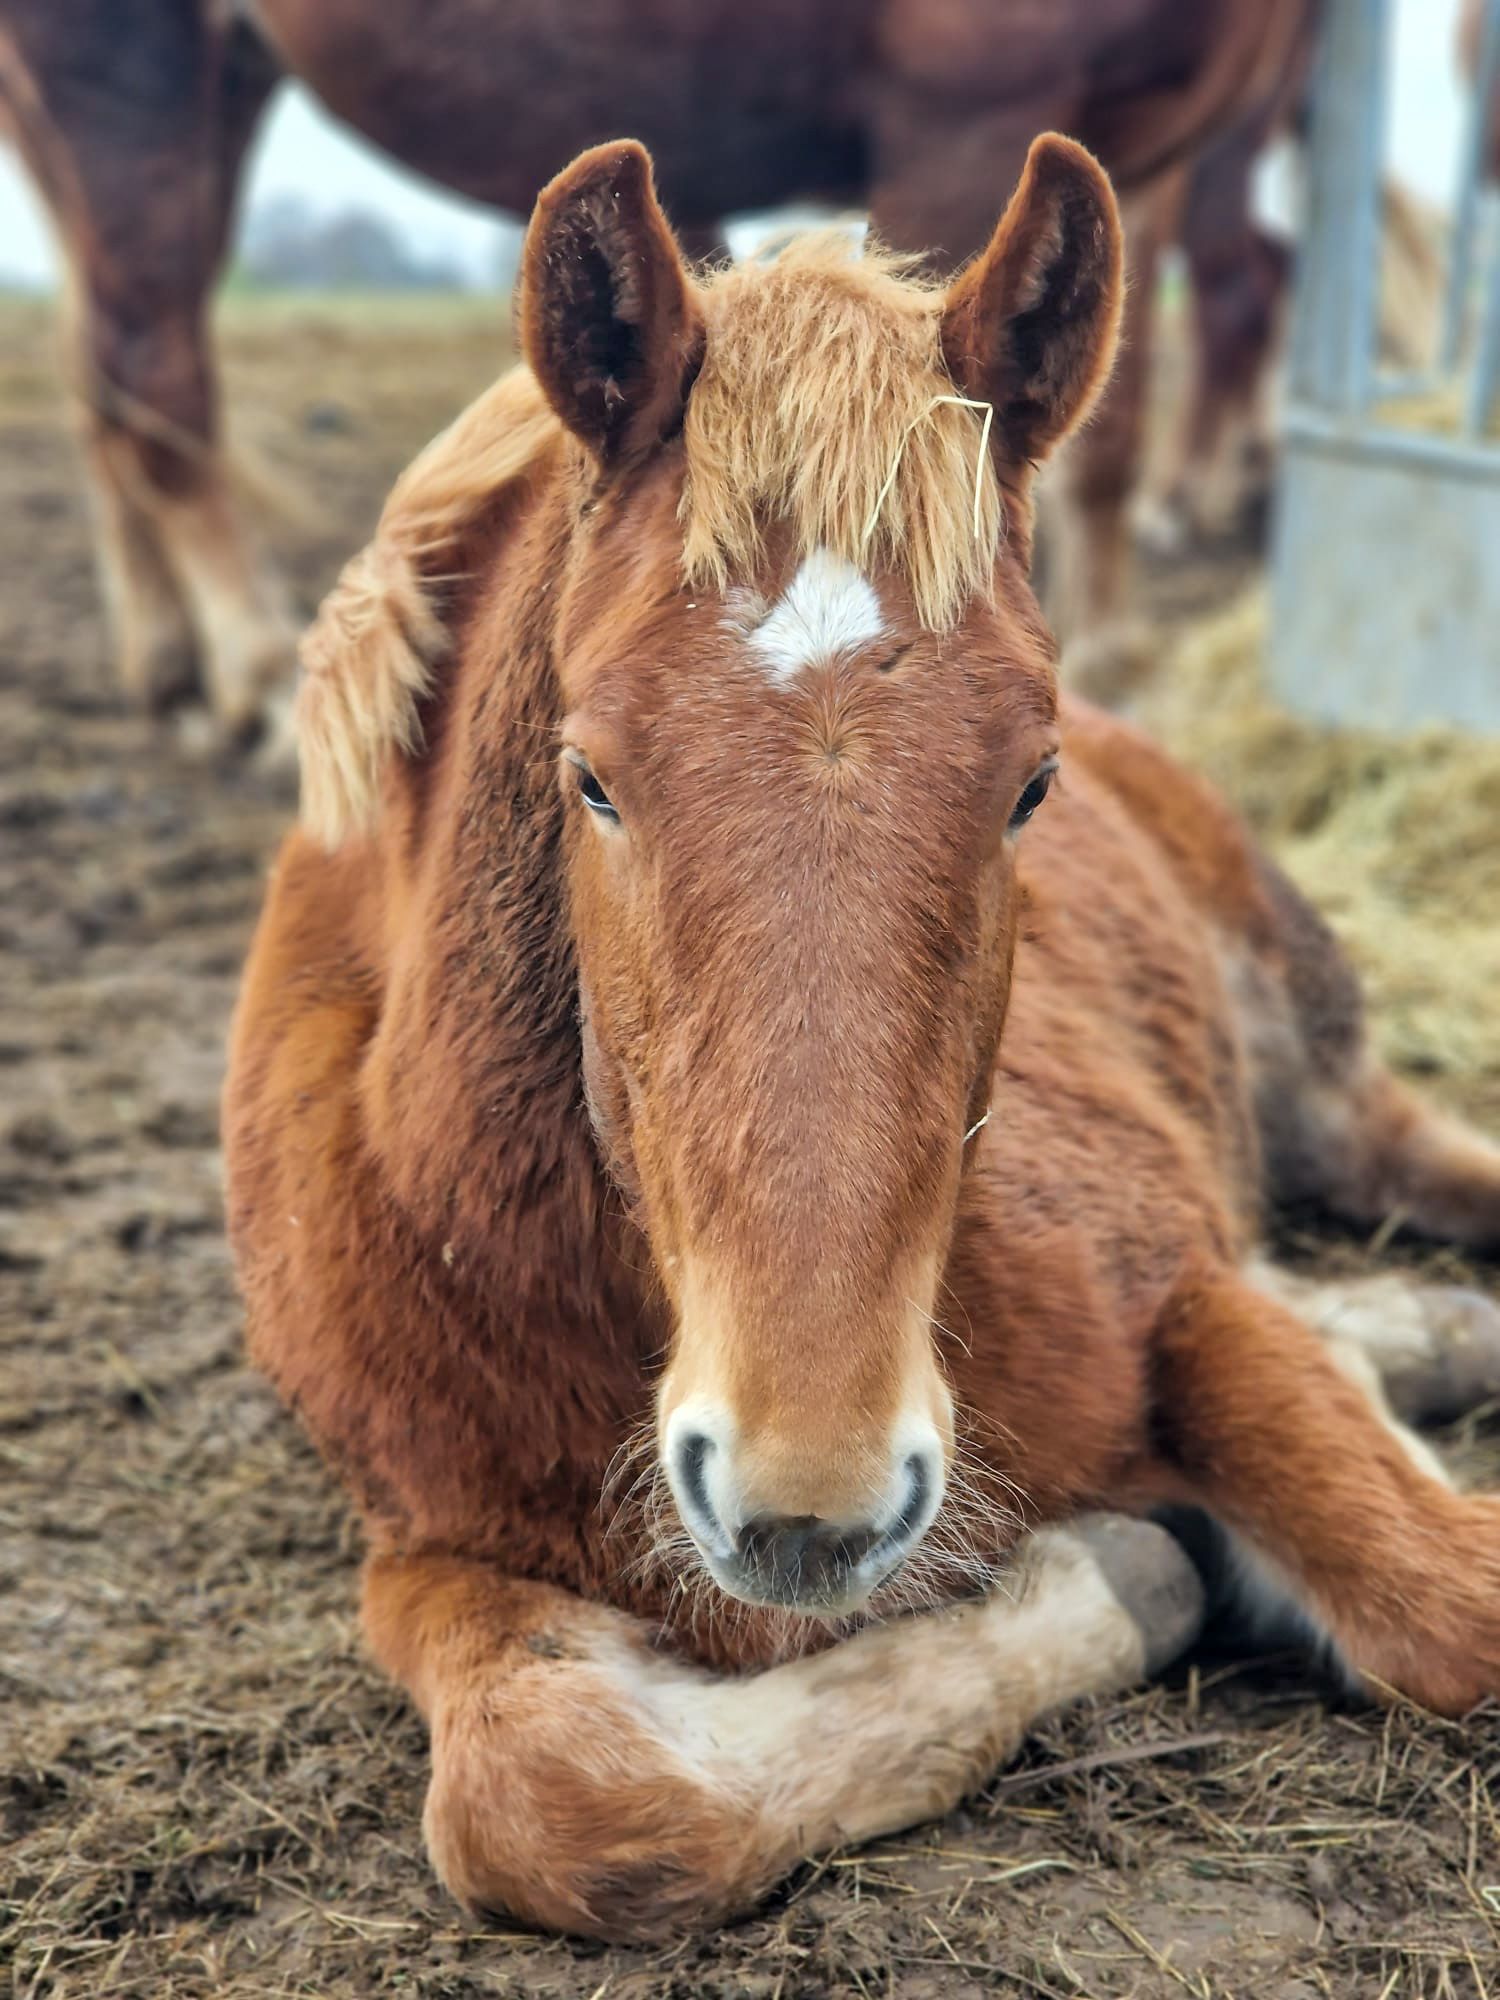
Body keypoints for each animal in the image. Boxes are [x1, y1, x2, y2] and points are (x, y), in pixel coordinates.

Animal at [0, 0, 1314, 743]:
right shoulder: (965, 121)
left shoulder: (1136, 157)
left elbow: (1110, 422)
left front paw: (1110, 662)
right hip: (119, 65)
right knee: (151, 361)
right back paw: (261, 673)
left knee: (100, 362)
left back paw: (172, 665)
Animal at [223, 135, 1500, 1942]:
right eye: (590, 773)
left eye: (1029, 780)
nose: (807, 1497)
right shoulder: (432, 1551)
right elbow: (550, 1800)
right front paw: (1120, 1567)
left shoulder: (1172, 1278)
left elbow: (1441, 1599)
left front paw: (1130, 1555)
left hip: (1323, 1079)